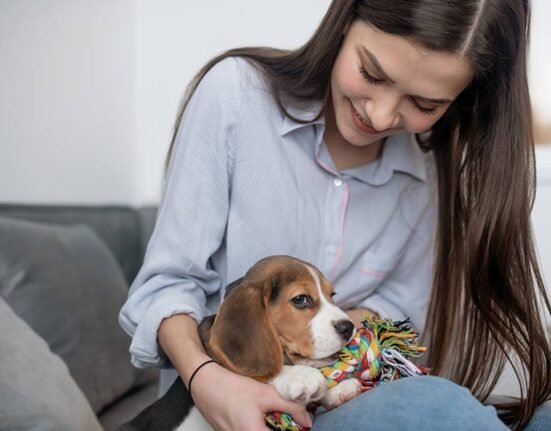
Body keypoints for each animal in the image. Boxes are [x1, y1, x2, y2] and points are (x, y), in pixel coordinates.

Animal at [118, 256, 356, 431]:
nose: (349, 327)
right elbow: (260, 373)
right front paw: (300, 376)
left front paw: (335, 390)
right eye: (300, 299)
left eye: (332, 294)